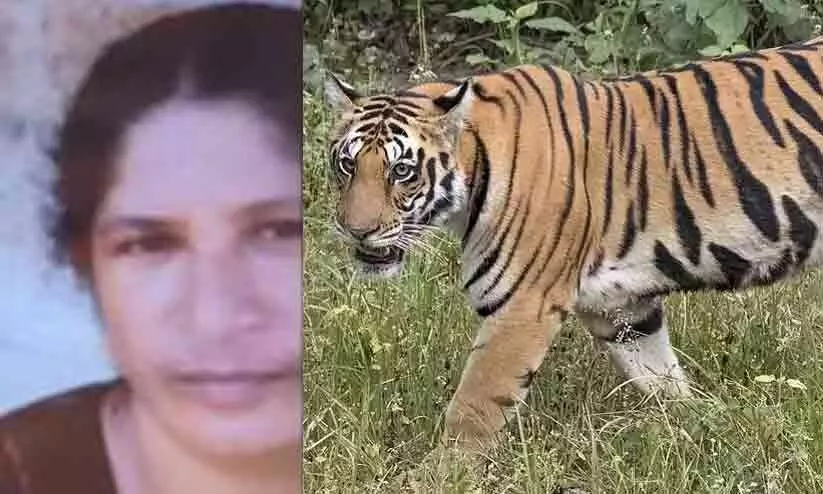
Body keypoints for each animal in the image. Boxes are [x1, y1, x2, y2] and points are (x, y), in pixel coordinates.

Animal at [322, 35, 823, 455]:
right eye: (346, 165)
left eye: (401, 171)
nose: (355, 230)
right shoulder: (620, 306)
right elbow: (660, 376)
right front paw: (701, 426)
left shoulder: (522, 306)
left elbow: (473, 409)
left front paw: (442, 474)